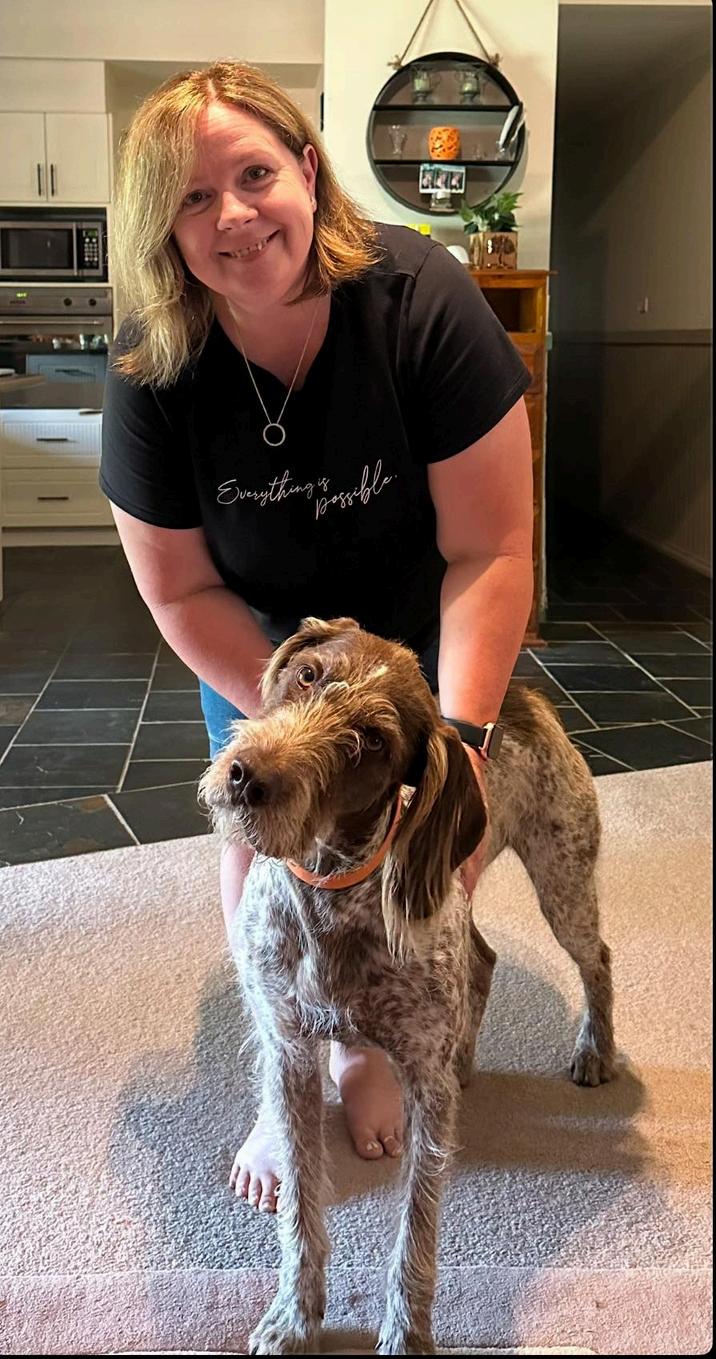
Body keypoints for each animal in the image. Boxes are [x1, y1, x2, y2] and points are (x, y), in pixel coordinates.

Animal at [199, 616, 615, 1355]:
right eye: (308, 674)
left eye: (371, 741)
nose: (248, 775)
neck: (332, 893)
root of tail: (527, 695)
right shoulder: (291, 1055)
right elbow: (301, 1209)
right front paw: (296, 1316)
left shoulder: (424, 1089)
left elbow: (414, 1235)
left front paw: (405, 1333)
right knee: (482, 959)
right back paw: (469, 1057)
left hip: (562, 877)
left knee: (596, 959)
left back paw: (595, 1049)